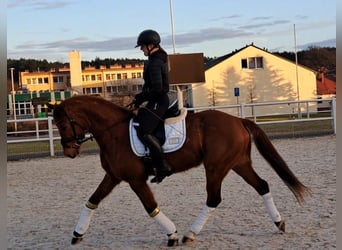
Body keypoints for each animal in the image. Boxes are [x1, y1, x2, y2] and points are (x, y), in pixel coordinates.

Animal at [47, 95, 310, 246]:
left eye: (62, 124)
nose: (69, 152)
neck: (113, 132)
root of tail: (238, 120)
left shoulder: (135, 179)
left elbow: (150, 207)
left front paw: (172, 235)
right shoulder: (113, 176)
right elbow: (92, 201)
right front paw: (77, 234)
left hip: (216, 167)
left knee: (214, 198)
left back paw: (189, 234)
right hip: (238, 163)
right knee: (262, 186)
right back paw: (279, 223)